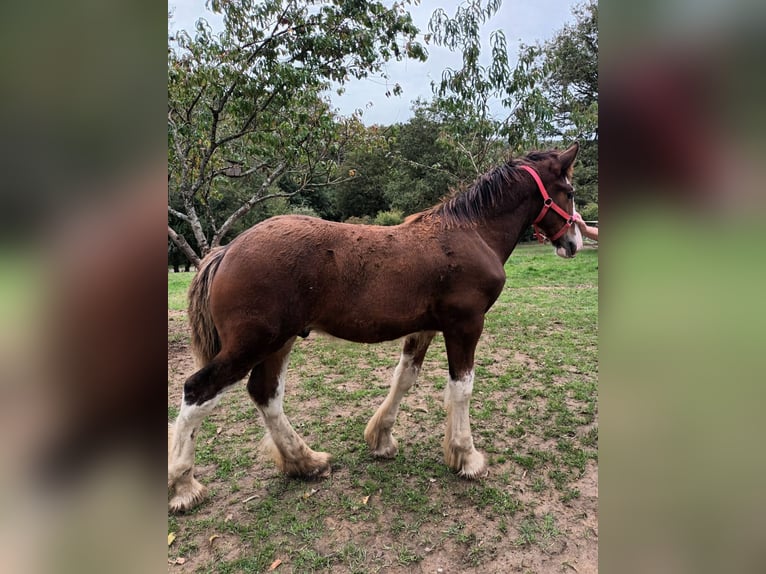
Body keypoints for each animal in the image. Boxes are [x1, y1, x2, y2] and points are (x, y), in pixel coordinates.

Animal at [168, 144, 584, 512]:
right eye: (570, 191)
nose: (574, 242)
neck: (472, 232)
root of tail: (226, 251)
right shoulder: (465, 326)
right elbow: (461, 388)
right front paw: (467, 457)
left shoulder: (426, 328)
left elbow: (404, 379)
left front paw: (382, 439)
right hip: (252, 344)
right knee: (198, 390)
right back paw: (184, 487)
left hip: (278, 342)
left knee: (265, 393)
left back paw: (306, 462)